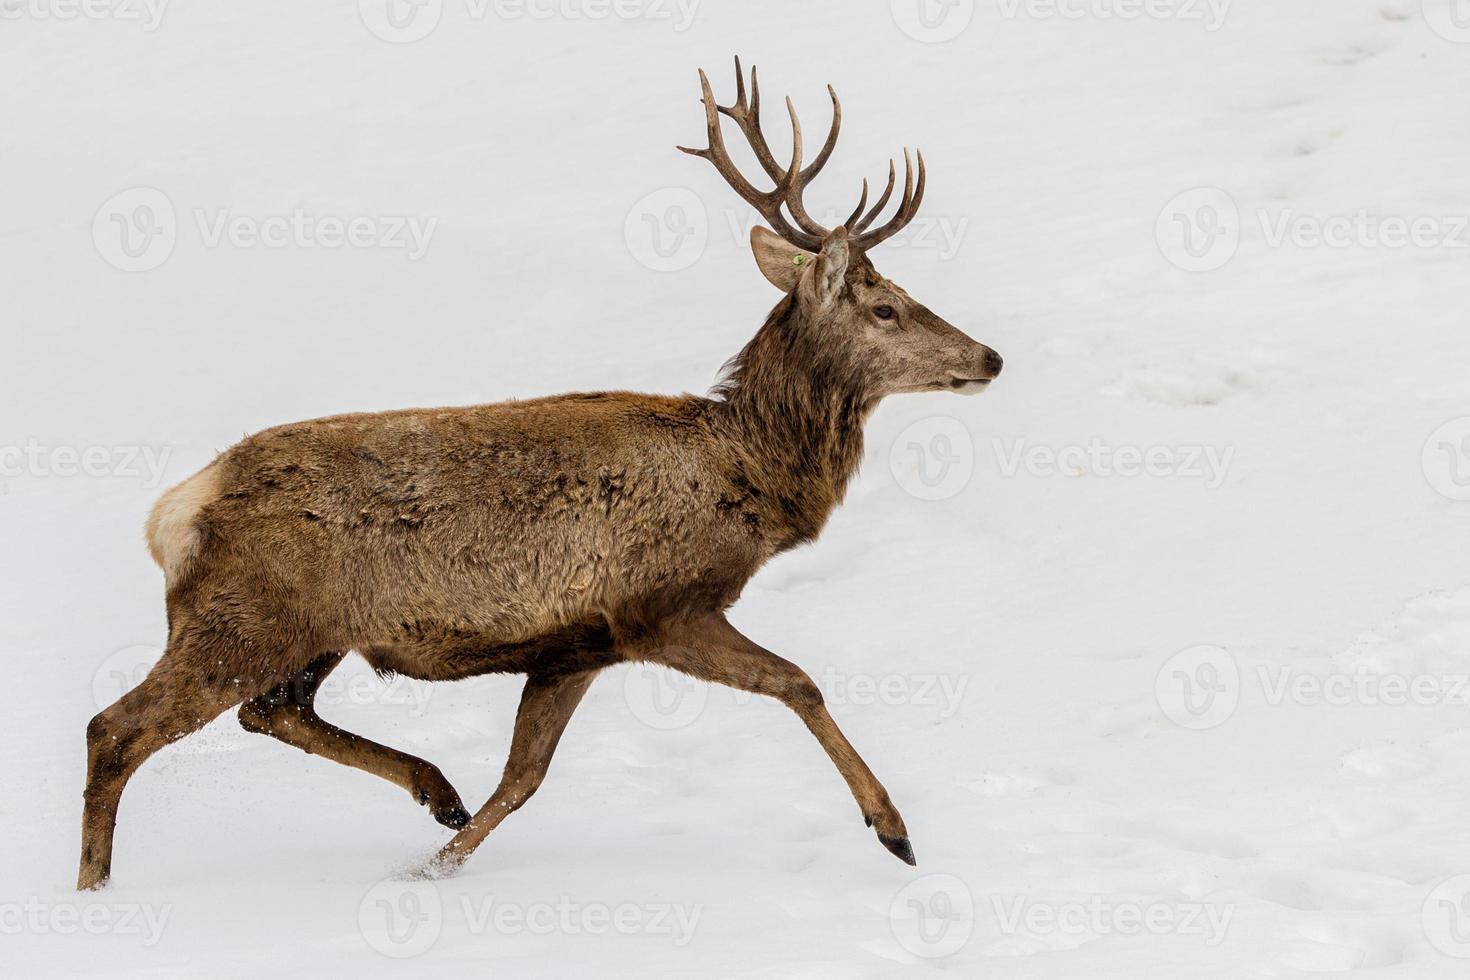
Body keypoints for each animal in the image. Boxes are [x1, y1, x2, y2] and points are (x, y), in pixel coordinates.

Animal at [77, 57, 999, 893]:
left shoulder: (575, 646)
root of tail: (173, 512)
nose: (989, 356)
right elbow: (799, 683)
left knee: (270, 711)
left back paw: (436, 791)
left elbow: (523, 779)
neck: (749, 479)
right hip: (240, 619)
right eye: (885, 307)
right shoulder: (657, 606)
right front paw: (895, 830)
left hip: (306, 633)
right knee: (115, 728)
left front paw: (433, 868)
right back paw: (94, 892)